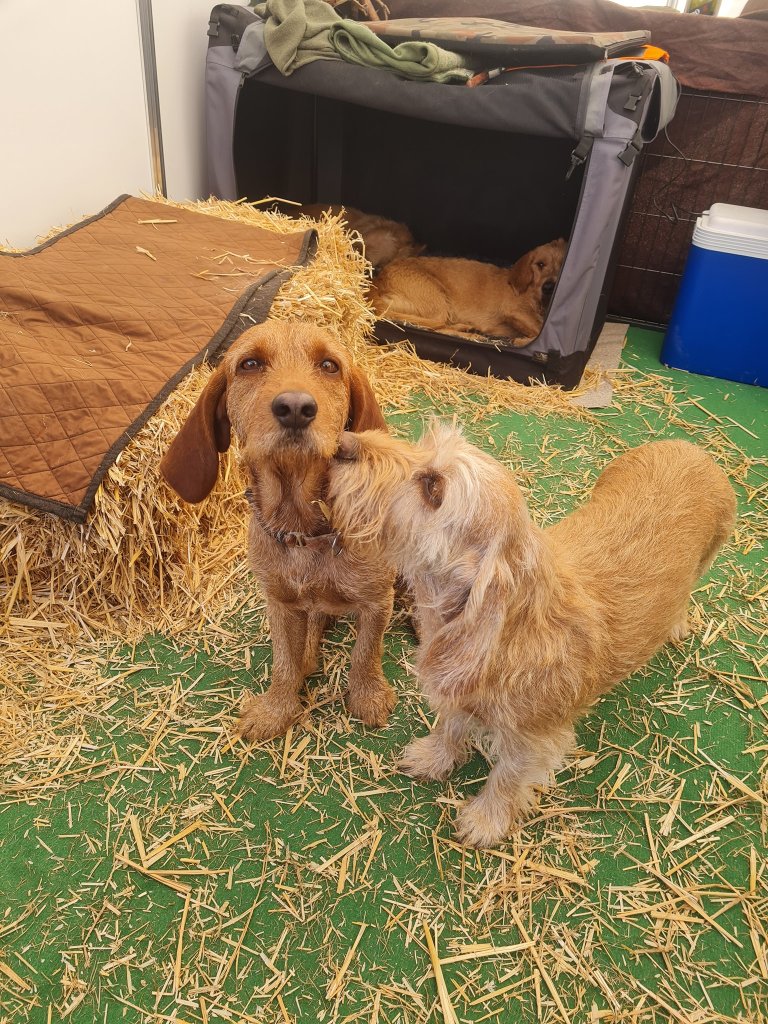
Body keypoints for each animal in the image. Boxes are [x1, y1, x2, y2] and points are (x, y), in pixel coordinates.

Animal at [160, 321, 397, 742]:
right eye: (250, 363)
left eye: (330, 365)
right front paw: (277, 709)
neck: (303, 528)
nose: (296, 409)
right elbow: (285, 661)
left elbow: (366, 653)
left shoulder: (377, 600)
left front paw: (368, 696)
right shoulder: (280, 603)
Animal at [329, 423, 736, 847]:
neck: (508, 632)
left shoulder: (534, 741)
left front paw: (485, 820)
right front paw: (432, 758)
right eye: (422, 447)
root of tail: (691, 448)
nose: (343, 443)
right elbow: (449, 730)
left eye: (433, 487)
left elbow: (506, 779)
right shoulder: (458, 698)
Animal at [368, 238, 567, 346]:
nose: (549, 287)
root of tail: (377, 283)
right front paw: (524, 341)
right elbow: (538, 330)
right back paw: (470, 334)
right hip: (438, 302)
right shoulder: (515, 311)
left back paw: (466, 328)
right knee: (434, 328)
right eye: (540, 264)